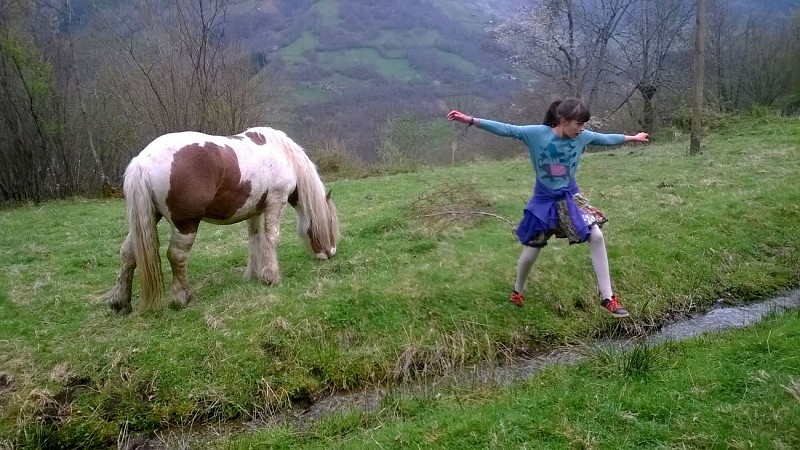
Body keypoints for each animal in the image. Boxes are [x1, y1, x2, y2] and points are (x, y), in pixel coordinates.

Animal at [105, 128, 338, 314]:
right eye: (329, 224)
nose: (330, 253)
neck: (282, 153)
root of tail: (142, 160)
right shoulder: (275, 202)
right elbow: (271, 238)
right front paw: (271, 277)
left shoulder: (254, 210)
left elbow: (255, 239)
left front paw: (254, 274)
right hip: (186, 224)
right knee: (177, 255)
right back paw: (181, 298)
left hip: (149, 219)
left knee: (128, 253)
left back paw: (120, 302)